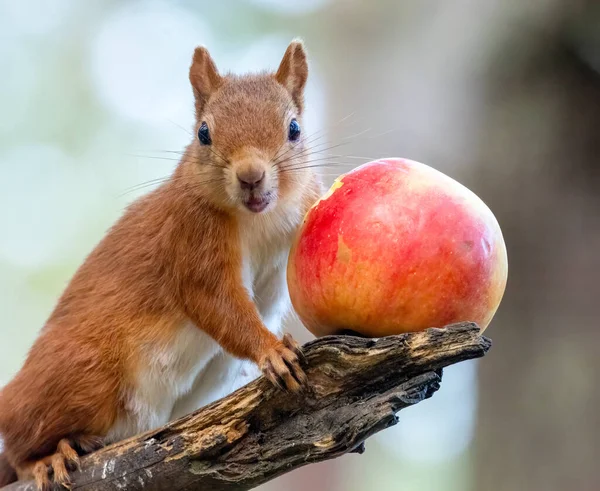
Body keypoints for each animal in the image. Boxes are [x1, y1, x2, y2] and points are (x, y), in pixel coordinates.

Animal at [0, 39, 324, 491]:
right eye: (203, 133)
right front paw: (272, 350)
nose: (251, 176)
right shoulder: (190, 239)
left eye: (294, 129)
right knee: (17, 443)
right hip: (82, 375)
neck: (260, 219)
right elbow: (215, 303)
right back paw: (44, 459)